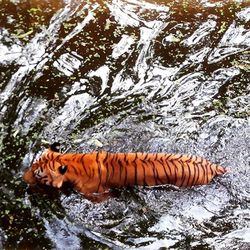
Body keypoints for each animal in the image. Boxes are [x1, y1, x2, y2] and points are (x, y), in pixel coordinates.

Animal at [23, 143, 227, 201]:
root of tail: (213, 166)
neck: (70, 161)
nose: (23, 178)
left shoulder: (95, 193)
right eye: (33, 165)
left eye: (38, 174)